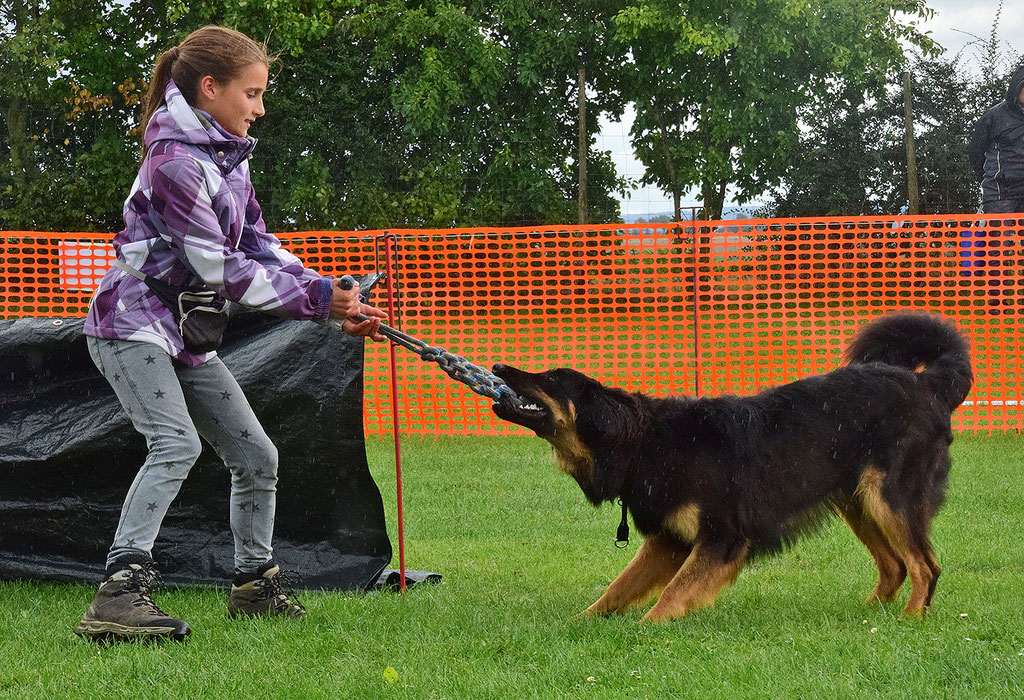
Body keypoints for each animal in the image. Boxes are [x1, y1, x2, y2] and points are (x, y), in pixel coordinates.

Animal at [491, 315, 970, 622]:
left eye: (551, 379)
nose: (497, 366)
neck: (644, 443)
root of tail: (928, 383)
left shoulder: (722, 540)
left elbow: (672, 594)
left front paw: (647, 628)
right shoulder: (669, 541)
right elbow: (617, 589)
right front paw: (581, 625)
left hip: (890, 500)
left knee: (925, 566)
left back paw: (910, 620)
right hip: (857, 502)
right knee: (895, 566)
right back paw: (869, 616)